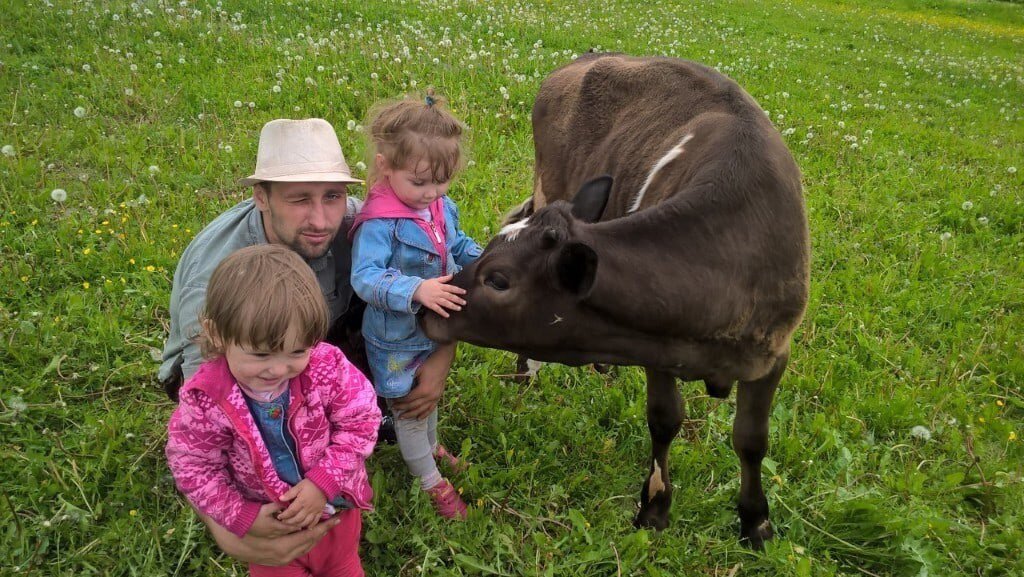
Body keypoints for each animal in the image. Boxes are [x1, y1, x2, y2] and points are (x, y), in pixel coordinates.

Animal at [419, 53, 802, 545]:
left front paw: (756, 522)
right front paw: (654, 507)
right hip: (549, 181)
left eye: (498, 280)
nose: (425, 307)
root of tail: (585, 58)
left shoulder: (773, 352)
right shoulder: (659, 346)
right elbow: (665, 419)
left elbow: (752, 440)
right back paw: (526, 371)